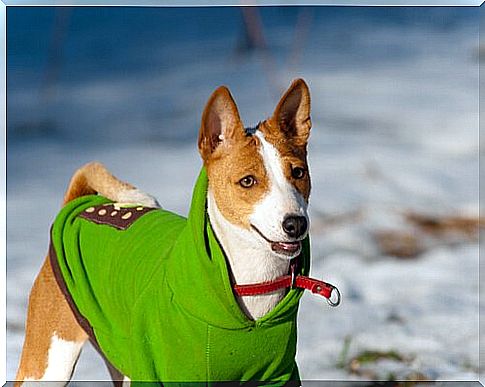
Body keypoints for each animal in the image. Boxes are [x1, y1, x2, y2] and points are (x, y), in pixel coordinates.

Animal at [13, 78, 334, 384]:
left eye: (298, 172)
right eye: (247, 181)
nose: (295, 223)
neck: (252, 284)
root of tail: (79, 203)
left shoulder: (277, 375)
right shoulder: (159, 370)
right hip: (50, 362)